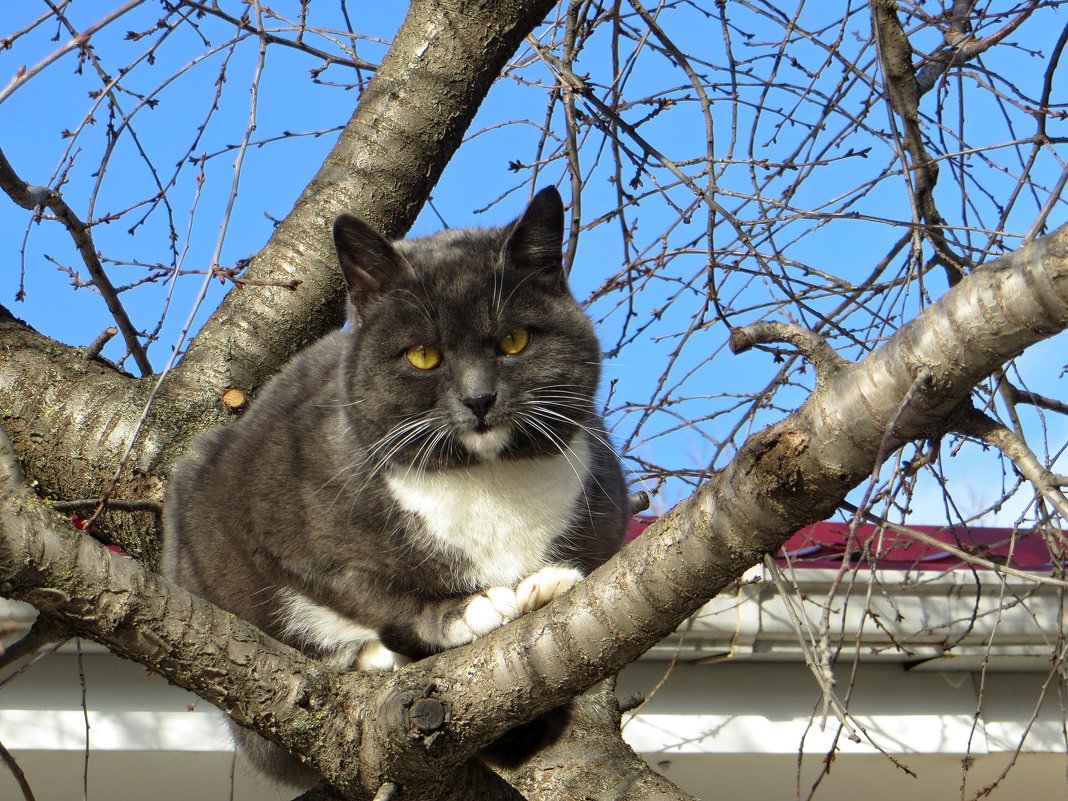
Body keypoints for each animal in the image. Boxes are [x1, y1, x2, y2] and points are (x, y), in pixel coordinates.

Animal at [162, 184, 627, 786]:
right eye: (424, 355)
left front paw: (547, 585)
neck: (487, 481)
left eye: (514, 340)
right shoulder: (288, 524)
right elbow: (370, 591)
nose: (479, 398)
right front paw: (465, 611)